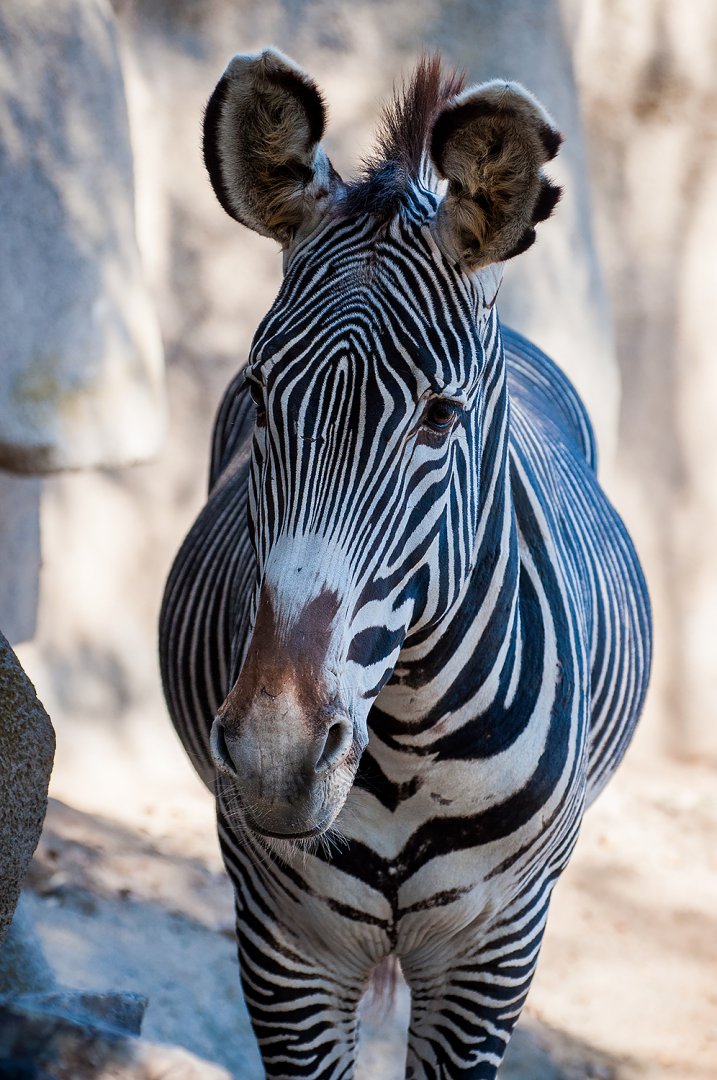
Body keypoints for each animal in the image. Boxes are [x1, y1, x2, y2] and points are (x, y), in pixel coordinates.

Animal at [159, 48, 651, 1079]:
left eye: (440, 417)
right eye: (259, 394)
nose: (274, 760)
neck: (402, 742)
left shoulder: (492, 954)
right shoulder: (285, 946)